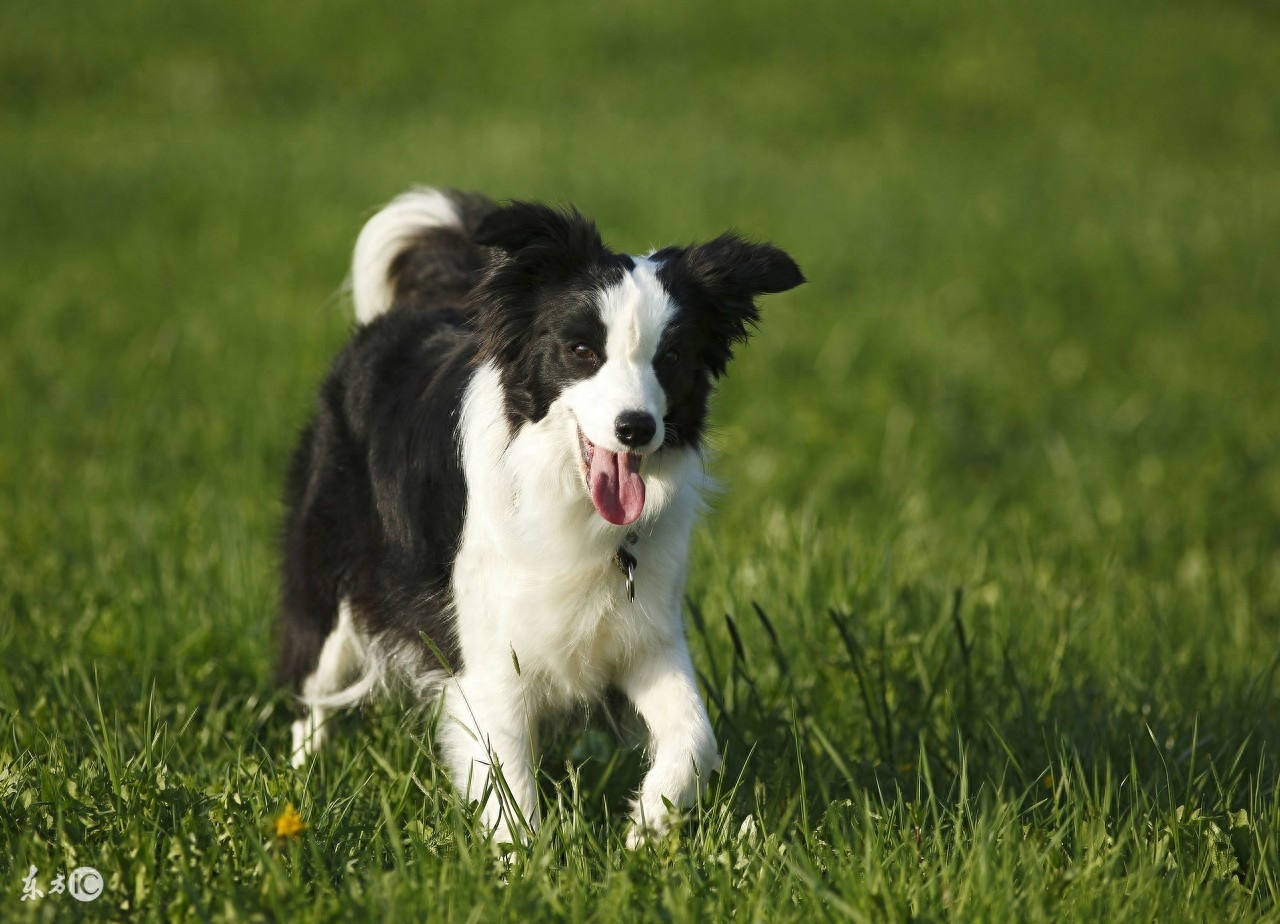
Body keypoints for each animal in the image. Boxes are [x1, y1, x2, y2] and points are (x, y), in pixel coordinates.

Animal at [280, 189, 798, 844]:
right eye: (582, 351)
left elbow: (697, 740)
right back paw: (302, 784)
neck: (570, 500)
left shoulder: (646, 634)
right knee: (312, 688)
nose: (637, 427)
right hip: (330, 576)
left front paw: (647, 828)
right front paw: (524, 861)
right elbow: (508, 786)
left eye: (673, 357)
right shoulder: (490, 658)